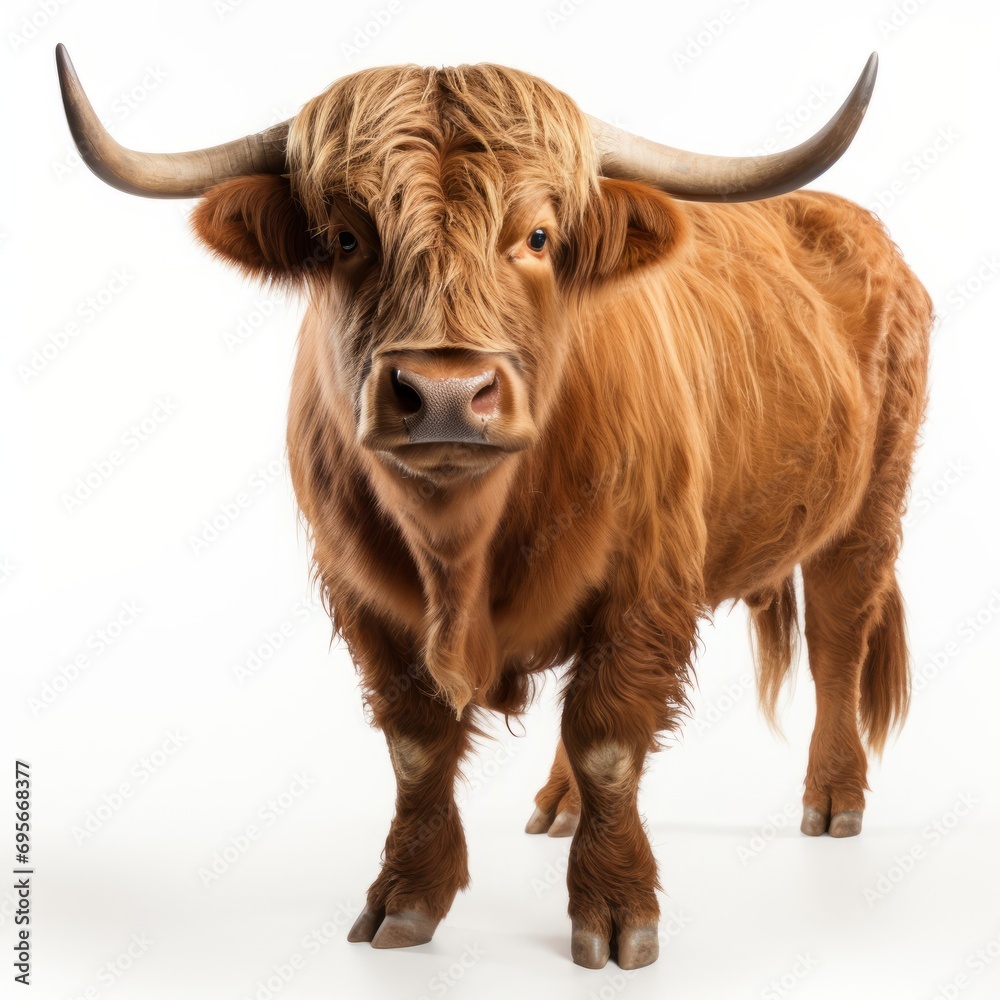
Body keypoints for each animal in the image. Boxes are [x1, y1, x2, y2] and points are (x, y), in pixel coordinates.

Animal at [57, 45, 932, 970]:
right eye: (346, 238)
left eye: (539, 237)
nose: (444, 394)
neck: (462, 548)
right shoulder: (365, 596)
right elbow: (418, 748)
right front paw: (405, 899)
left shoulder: (647, 585)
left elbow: (610, 739)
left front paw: (617, 913)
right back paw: (561, 804)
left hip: (868, 513)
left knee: (837, 643)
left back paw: (834, 799)